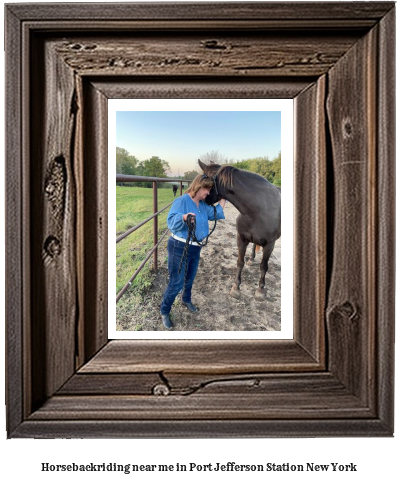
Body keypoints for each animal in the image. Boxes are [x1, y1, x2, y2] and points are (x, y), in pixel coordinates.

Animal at [199, 160, 282, 302]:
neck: (258, 210)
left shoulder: (270, 245)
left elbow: (263, 266)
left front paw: (260, 290)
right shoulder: (241, 239)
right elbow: (240, 263)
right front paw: (236, 288)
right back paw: (251, 259)